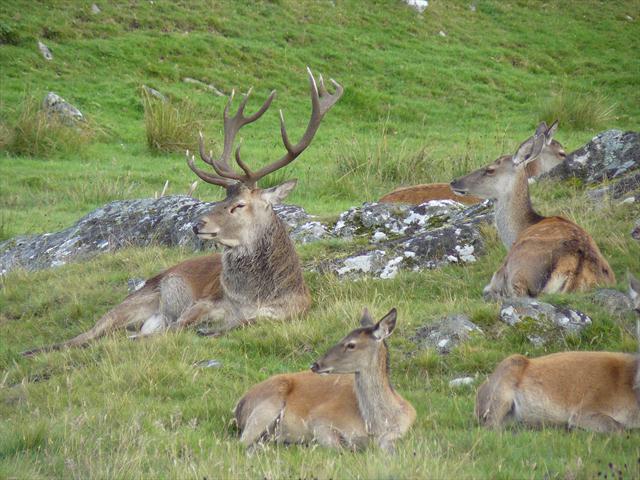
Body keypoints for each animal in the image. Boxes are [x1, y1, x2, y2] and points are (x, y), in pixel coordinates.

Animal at [22, 67, 344, 354]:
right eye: (221, 199)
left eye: (239, 205)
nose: (197, 224)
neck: (252, 297)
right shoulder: (205, 302)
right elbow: (180, 327)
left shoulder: (291, 312)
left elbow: (245, 323)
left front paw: (212, 331)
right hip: (137, 299)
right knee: (88, 334)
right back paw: (35, 350)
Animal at [234, 310, 416, 452]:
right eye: (342, 337)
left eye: (351, 345)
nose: (315, 364)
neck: (376, 426)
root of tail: (238, 406)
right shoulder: (319, 419)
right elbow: (340, 449)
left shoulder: (399, 432)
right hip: (266, 406)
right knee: (241, 443)